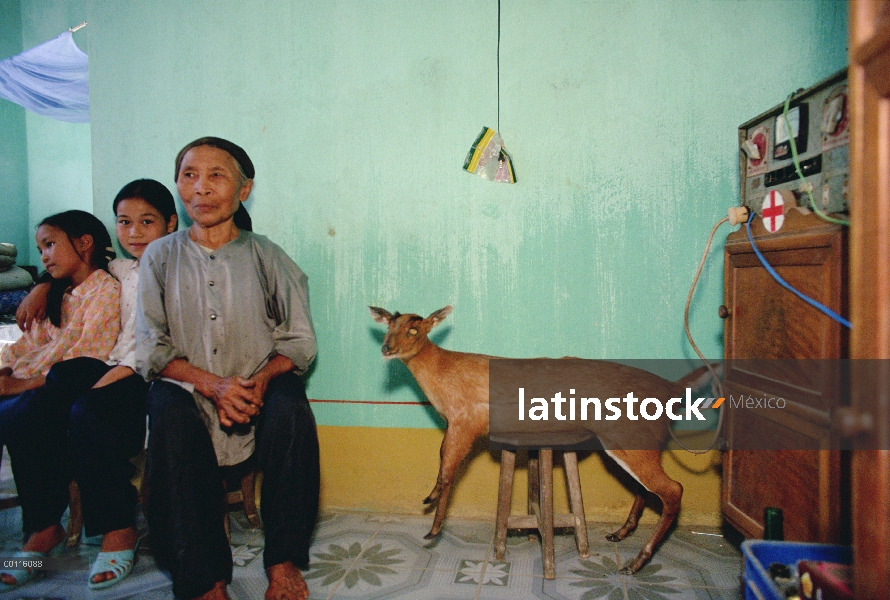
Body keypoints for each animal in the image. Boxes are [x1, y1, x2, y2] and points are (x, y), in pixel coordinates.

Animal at [368, 308, 716, 576]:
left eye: (414, 328)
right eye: (389, 326)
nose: (385, 348)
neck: (443, 374)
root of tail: (672, 390)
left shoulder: (465, 420)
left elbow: (446, 467)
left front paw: (432, 527)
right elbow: (444, 462)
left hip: (632, 440)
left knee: (673, 489)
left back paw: (634, 563)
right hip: (630, 445)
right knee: (647, 489)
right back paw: (619, 533)